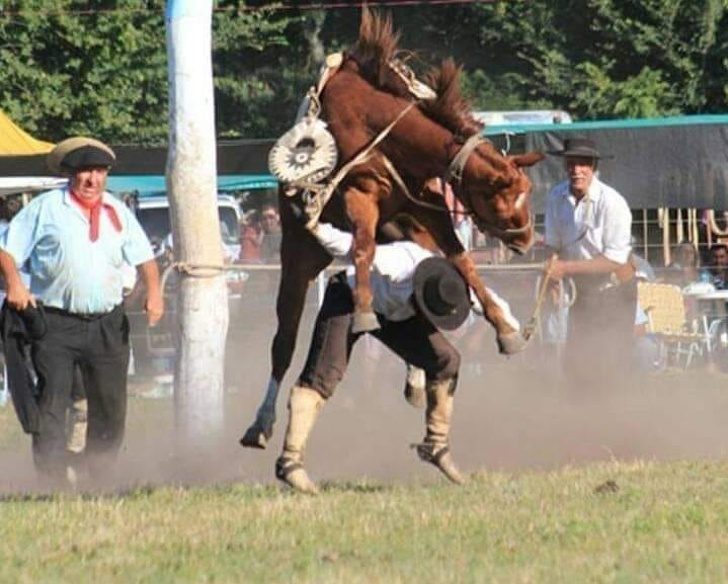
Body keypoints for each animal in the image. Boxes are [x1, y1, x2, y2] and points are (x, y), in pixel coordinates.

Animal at [242, 8, 544, 448]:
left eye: (528, 191)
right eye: (502, 197)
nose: (525, 238)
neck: (377, 124)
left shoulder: (427, 206)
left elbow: (461, 260)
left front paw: (505, 329)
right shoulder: (360, 199)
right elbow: (363, 249)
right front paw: (365, 314)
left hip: (406, 230)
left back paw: (419, 377)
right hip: (298, 256)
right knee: (284, 341)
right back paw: (260, 423)